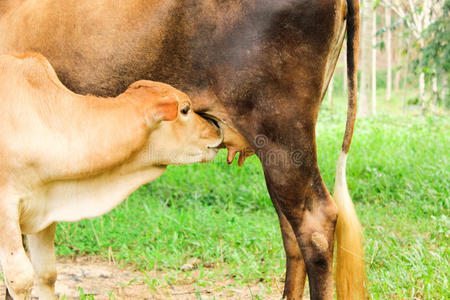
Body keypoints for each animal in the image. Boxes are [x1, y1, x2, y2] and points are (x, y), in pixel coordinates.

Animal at [0, 53, 223, 300]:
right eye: (185, 109)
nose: (216, 126)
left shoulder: (45, 208)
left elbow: (46, 274)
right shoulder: (5, 212)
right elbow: (20, 279)